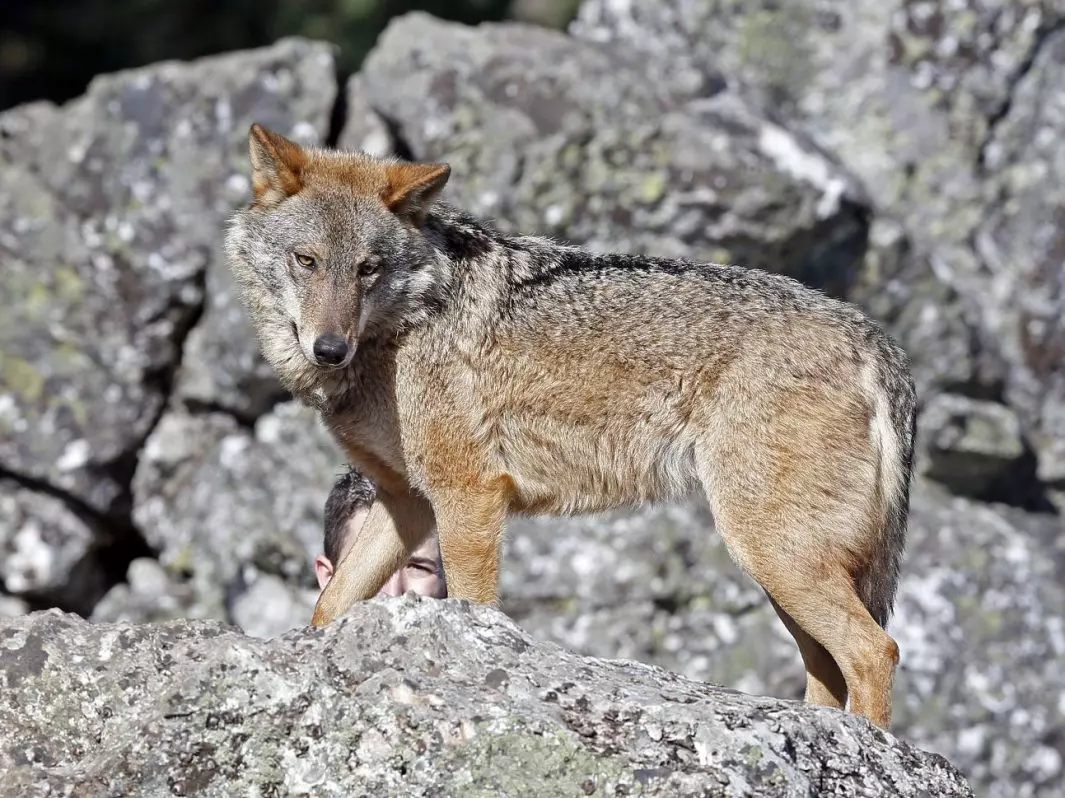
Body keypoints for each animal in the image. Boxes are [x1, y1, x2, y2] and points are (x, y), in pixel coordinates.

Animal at [224, 123, 917, 729]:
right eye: (307, 261)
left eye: (368, 269)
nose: (329, 349)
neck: (398, 331)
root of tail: (873, 338)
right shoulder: (407, 502)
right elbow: (330, 606)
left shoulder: (469, 495)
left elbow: (475, 609)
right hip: (780, 569)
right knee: (830, 666)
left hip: (770, 552)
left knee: (875, 650)